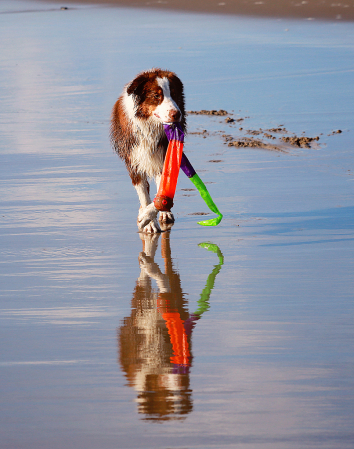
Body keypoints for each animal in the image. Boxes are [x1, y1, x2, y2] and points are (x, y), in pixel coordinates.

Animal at [111, 69, 187, 234]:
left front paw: (150, 214)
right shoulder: (134, 160)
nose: (176, 114)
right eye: (156, 96)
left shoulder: (164, 155)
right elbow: (143, 193)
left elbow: (164, 189)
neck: (150, 127)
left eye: (174, 93)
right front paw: (148, 223)